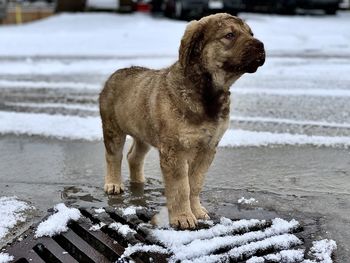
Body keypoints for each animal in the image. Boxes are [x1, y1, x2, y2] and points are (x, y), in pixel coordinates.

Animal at [99, 13, 266, 230]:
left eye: (251, 33)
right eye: (229, 35)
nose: (261, 45)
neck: (207, 95)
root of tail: (115, 74)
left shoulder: (208, 147)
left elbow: (195, 184)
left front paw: (197, 211)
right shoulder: (175, 149)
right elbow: (181, 186)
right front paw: (183, 217)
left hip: (144, 132)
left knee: (134, 156)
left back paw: (139, 181)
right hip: (113, 128)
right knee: (114, 156)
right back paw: (113, 184)